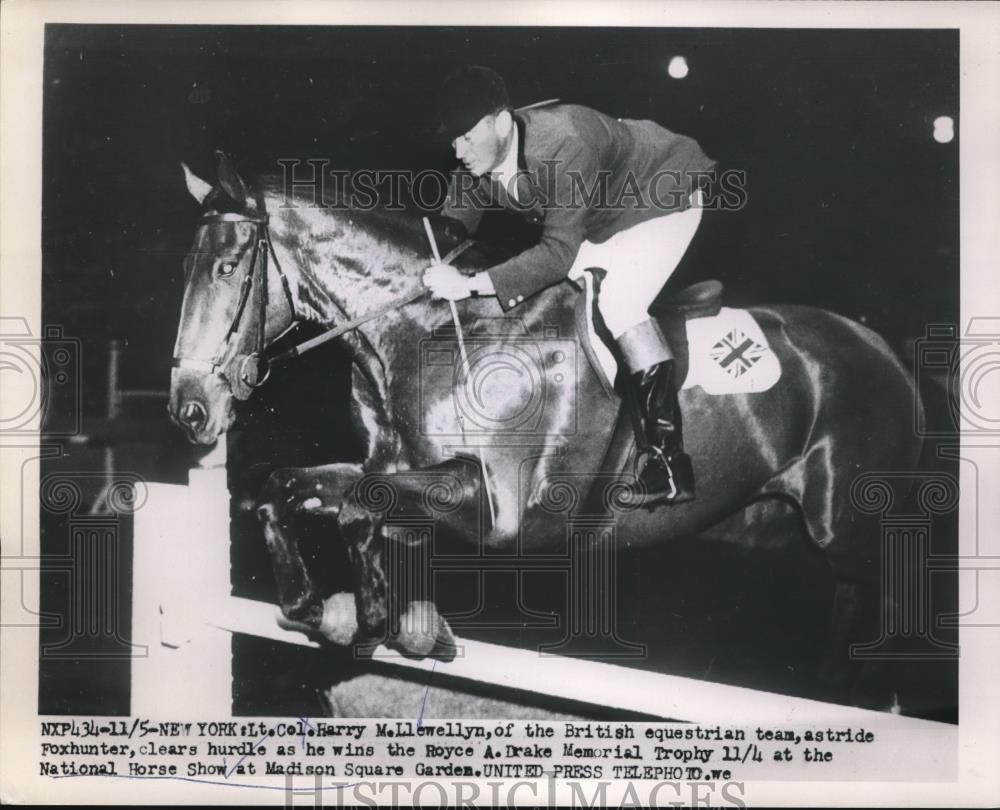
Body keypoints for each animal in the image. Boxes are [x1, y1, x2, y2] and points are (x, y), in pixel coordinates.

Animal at [170, 152, 920, 688]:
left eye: (229, 267)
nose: (189, 408)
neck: (428, 330)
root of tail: (884, 350)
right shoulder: (391, 466)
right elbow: (286, 488)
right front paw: (314, 608)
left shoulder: (500, 512)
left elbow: (360, 508)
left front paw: (378, 620)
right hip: (774, 530)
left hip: (846, 527)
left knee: (887, 599)